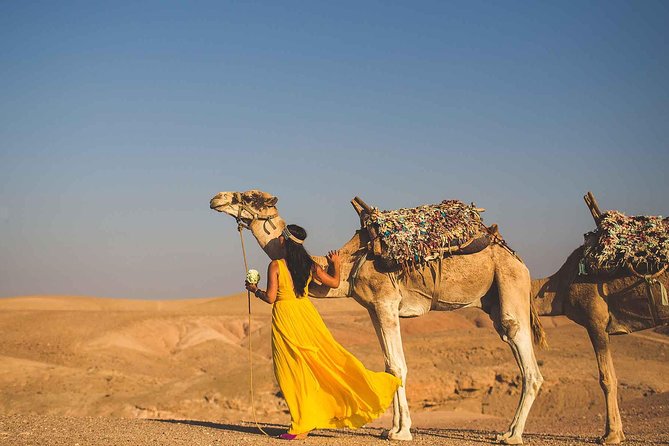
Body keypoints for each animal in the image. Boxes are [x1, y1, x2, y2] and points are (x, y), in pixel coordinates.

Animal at [210, 189, 546, 444]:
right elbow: (389, 365)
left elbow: (398, 366)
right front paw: (392, 429)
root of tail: (518, 258)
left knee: (526, 357)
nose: (217, 198)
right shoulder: (373, 308)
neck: (350, 263)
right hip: (493, 299)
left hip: (510, 283)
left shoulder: (386, 302)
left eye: (250, 197)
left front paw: (402, 433)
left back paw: (511, 436)